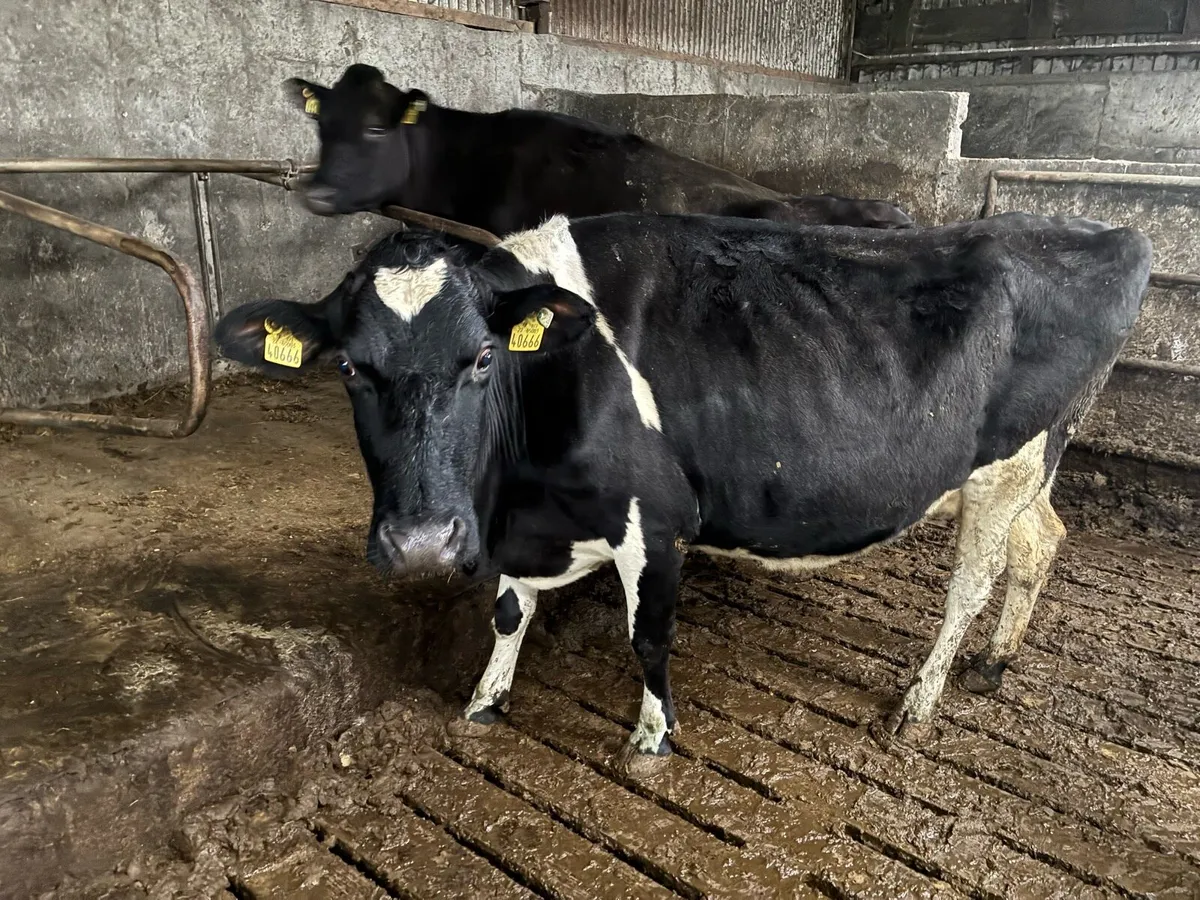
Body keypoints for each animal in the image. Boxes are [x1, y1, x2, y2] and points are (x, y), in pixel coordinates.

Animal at [214, 211, 1151, 771]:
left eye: (481, 358)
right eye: (348, 368)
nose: (419, 543)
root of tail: (1102, 232)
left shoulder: (652, 520)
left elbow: (649, 637)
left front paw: (653, 735)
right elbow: (510, 612)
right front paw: (485, 698)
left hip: (1006, 469)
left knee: (969, 584)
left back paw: (919, 702)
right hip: (1028, 474)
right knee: (1043, 544)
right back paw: (996, 660)